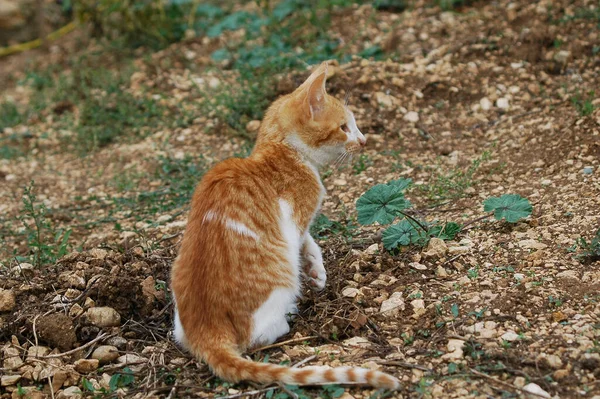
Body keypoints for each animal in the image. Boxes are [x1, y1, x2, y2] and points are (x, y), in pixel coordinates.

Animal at [171, 62, 400, 390]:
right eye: (345, 127)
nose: (364, 140)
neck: (283, 152)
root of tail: (207, 331)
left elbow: (311, 243)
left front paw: (317, 272)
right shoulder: (294, 224)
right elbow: (305, 240)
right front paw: (316, 272)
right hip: (279, 281)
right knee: (256, 338)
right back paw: (287, 317)